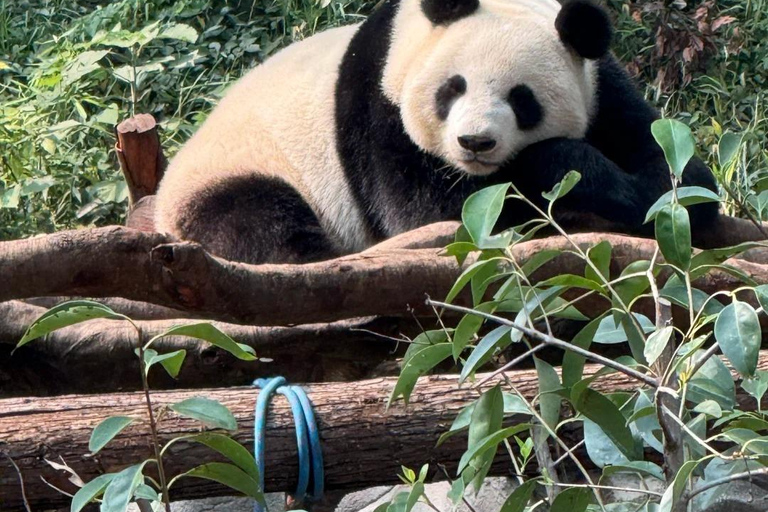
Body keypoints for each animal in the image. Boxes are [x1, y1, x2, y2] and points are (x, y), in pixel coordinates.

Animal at [154, 0, 718, 265]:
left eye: (522, 99)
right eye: (453, 87)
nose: (475, 143)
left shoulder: (601, 86)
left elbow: (679, 174)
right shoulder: (380, 113)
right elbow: (437, 214)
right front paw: (556, 166)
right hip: (228, 176)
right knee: (258, 224)